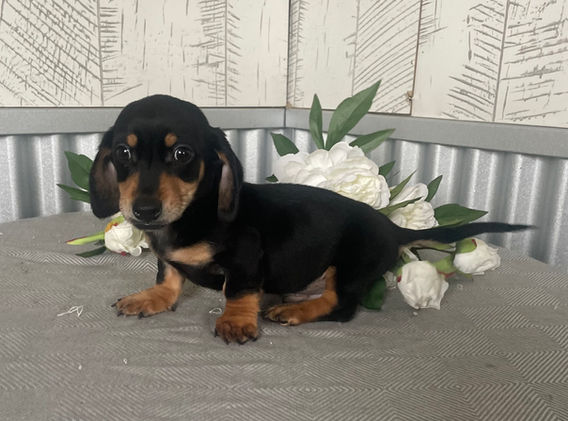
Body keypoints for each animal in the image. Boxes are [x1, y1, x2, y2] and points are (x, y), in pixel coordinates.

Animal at [89, 94, 528, 344]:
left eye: (181, 153)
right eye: (123, 153)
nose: (144, 211)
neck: (191, 214)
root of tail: (390, 227)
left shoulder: (246, 255)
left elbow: (238, 291)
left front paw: (236, 321)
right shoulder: (169, 258)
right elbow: (169, 277)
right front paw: (151, 298)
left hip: (349, 262)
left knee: (340, 305)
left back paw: (296, 312)